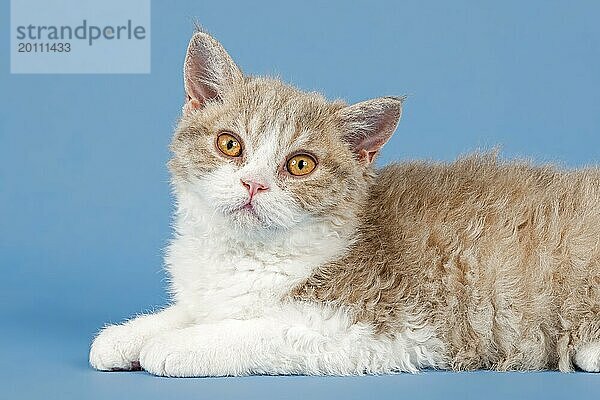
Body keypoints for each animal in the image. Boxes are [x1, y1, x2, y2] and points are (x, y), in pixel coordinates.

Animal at [88, 30, 600, 376]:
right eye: (230, 145)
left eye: (301, 164)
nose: (254, 184)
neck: (245, 253)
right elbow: (196, 309)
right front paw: (130, 334)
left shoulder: (374, 324)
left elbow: (261, 329)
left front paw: (179, 344)